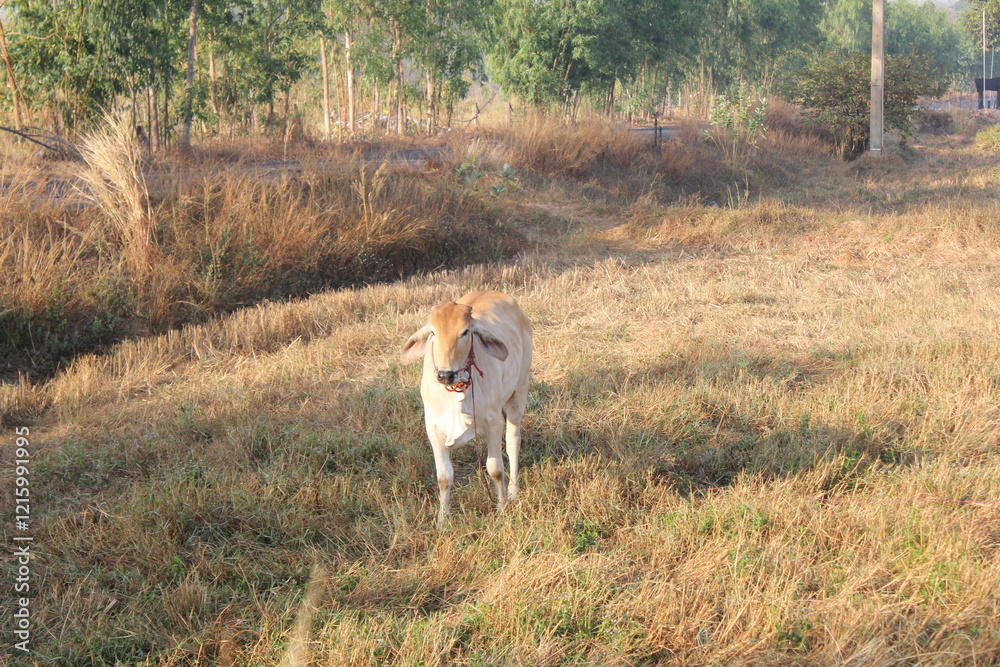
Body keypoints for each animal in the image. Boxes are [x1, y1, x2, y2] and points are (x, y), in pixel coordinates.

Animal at [401, 291, 533, 528]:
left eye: (465, 332)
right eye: (433, 332)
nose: (445, 374)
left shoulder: (494, 422)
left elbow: (495, 469)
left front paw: (501, 508)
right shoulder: (432, 426)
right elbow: (444, 477)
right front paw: (442, 521)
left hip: (519, 392)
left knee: (513, 442)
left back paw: (513, 490)